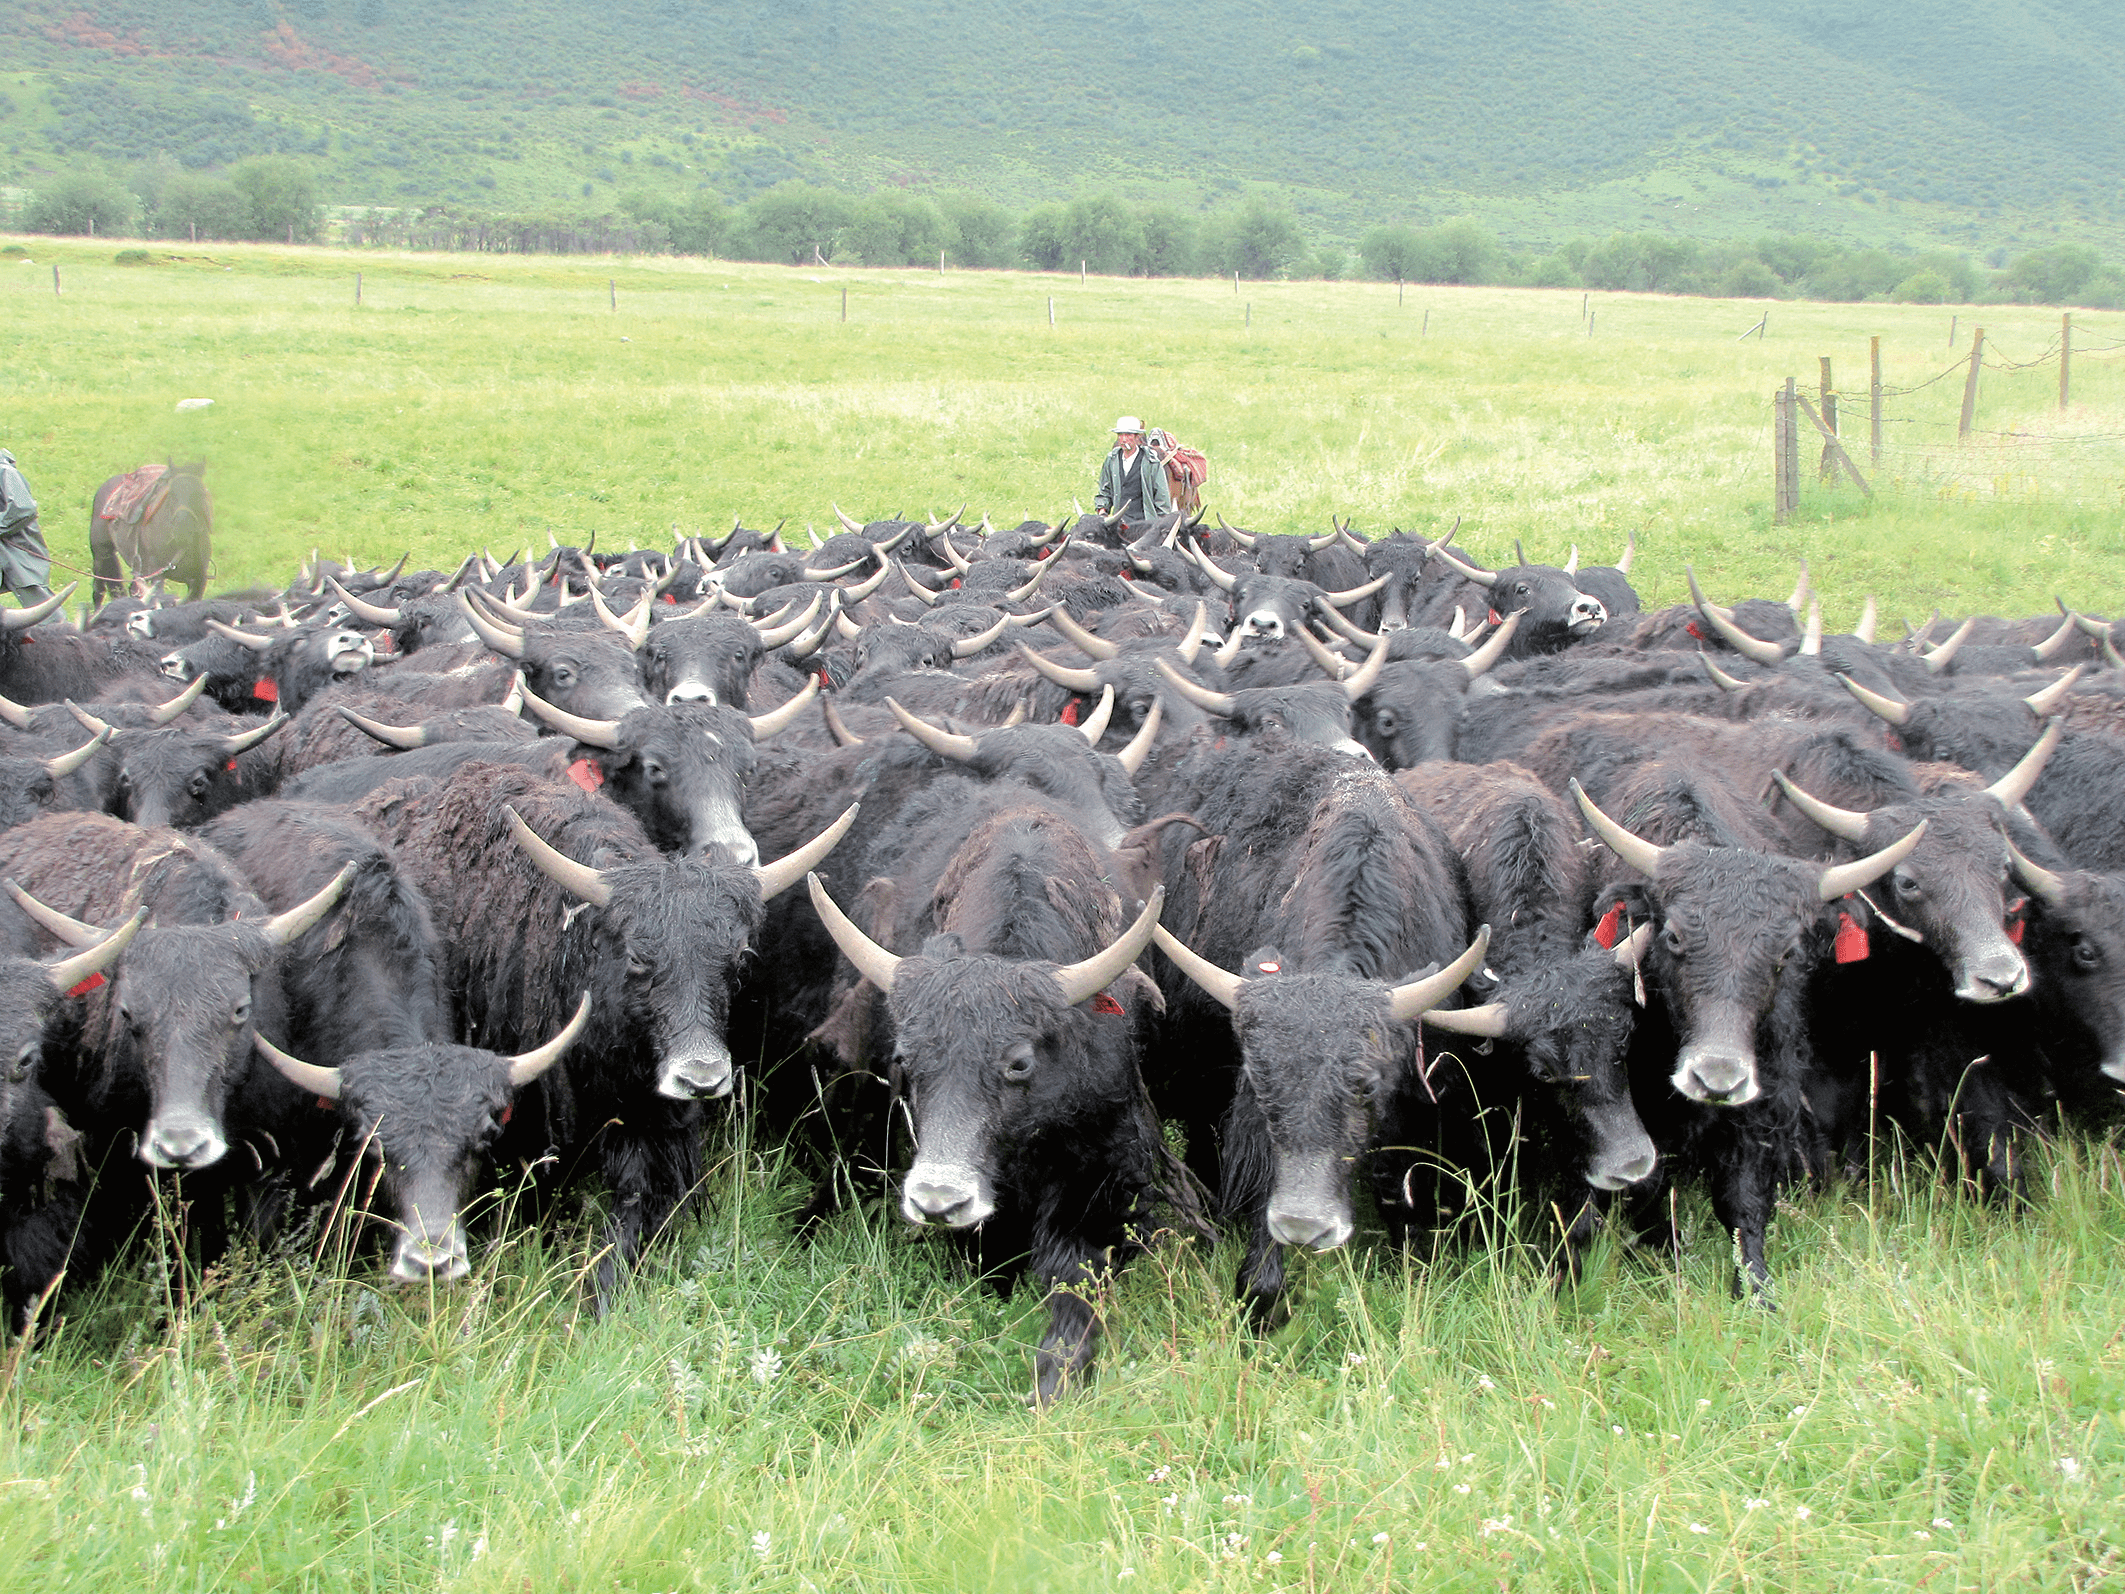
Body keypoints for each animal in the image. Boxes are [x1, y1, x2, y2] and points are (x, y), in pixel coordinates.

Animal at [88, 467, 212, 612]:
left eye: (200, 494)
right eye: (171, 496)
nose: (183, 528)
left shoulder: (199, 582)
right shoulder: (157, 576)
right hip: (101, 554)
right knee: (98, 590)